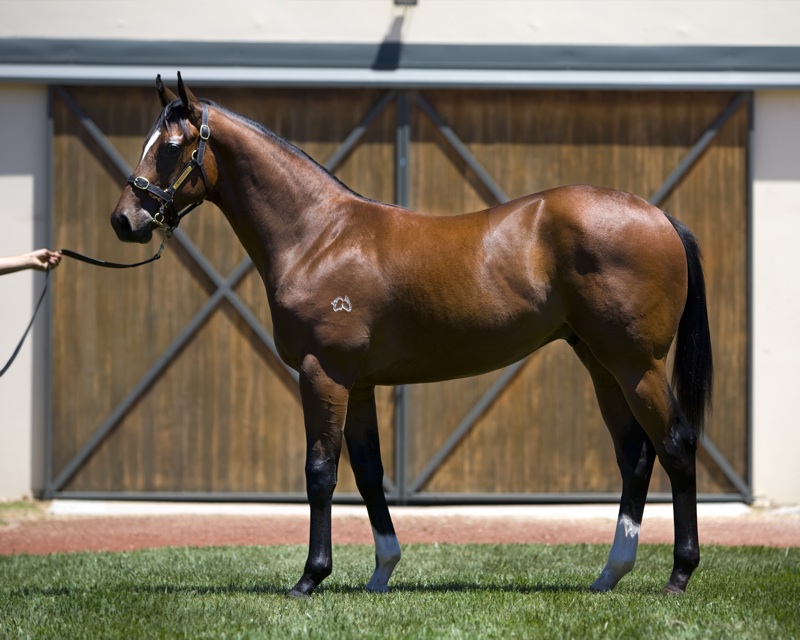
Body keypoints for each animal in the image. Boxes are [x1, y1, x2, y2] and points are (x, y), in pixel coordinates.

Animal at [110, 74, 712, 598]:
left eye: (172, 146)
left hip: (638, 365)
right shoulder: (357, 385)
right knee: (634, 455)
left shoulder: (323, 374)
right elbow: (369, 473)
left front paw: (310, 578)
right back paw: (610, 574)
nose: (124, 220)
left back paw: (679, 576)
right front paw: (382, 571)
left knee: (676, 446)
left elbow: (321, 472)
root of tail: (659, 216)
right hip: (601, 363)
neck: (318, 237)